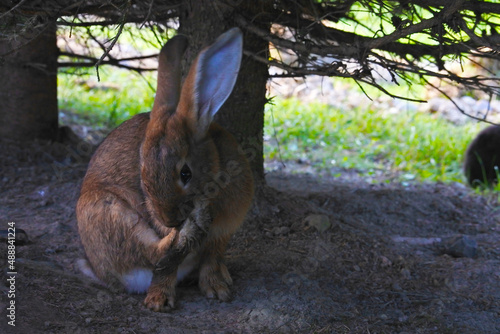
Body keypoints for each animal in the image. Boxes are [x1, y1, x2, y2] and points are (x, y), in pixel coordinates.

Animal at [76, 27, 254, 312]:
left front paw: (218, 290)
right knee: (155, 255)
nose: (170, 220)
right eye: (142, 174)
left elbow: (211, 259)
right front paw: (159, 300)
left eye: (185, 173)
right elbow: (166, 268)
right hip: (105, 213)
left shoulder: (223, 233)